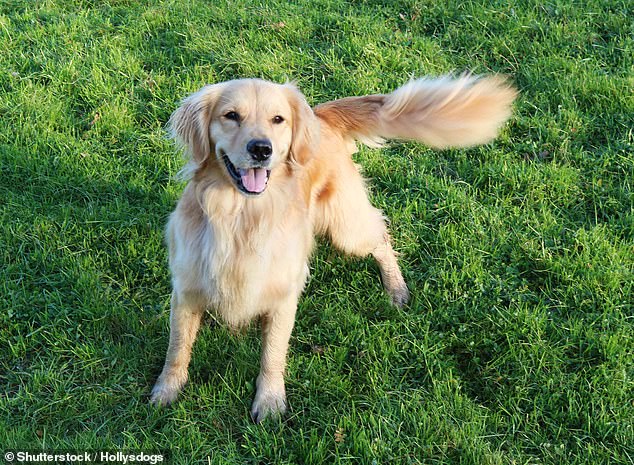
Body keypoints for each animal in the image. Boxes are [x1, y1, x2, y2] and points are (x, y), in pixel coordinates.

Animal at [151, 75, 516, 420]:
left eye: (278, 119)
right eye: (231, 116)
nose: (261, 149)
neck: (241, 218)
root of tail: (321, 116)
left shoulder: (283, 296)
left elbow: (273, 354)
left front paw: (269, 400)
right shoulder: (186, 291)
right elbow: (177, 348)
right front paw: (167, 390)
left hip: (346, 228)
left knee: (381, 234)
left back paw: (395, 288)